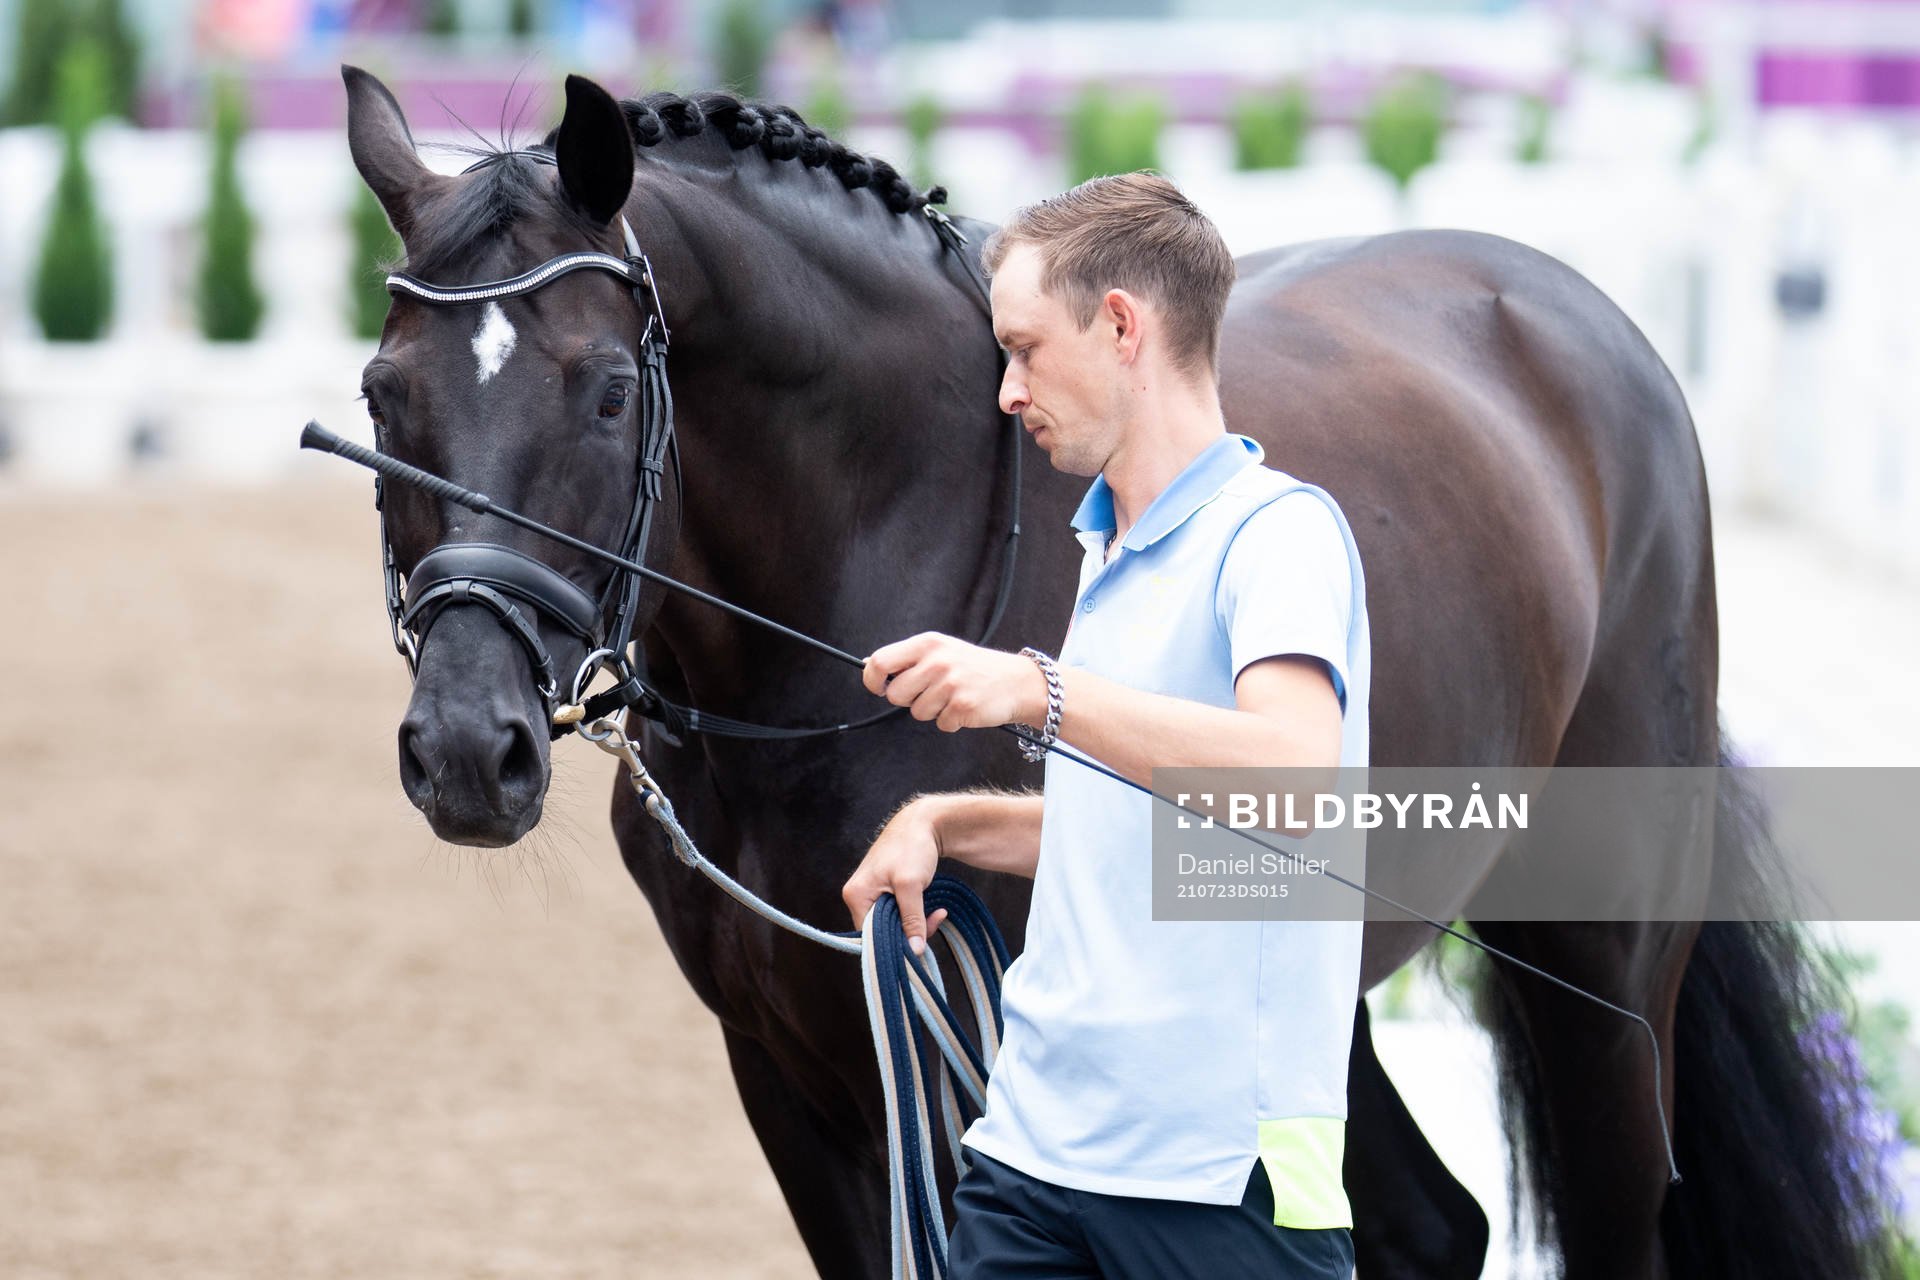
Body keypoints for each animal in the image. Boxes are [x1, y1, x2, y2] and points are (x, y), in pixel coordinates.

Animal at [339, 65, 1899, 1279]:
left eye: (609, 390)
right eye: (380, 391)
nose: (469, 750)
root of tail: (1577, 318)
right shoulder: (791, 1070)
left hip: (1603, 962)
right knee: (1424, 1226)